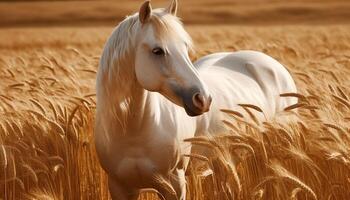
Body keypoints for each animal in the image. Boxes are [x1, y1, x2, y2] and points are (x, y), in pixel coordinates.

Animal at [94, 0, 296, 199]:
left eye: (184, 47)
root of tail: (270, 62)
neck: (134, 131)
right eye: (157, 51)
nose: (203, 99)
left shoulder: (174, 184)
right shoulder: (120, 186)